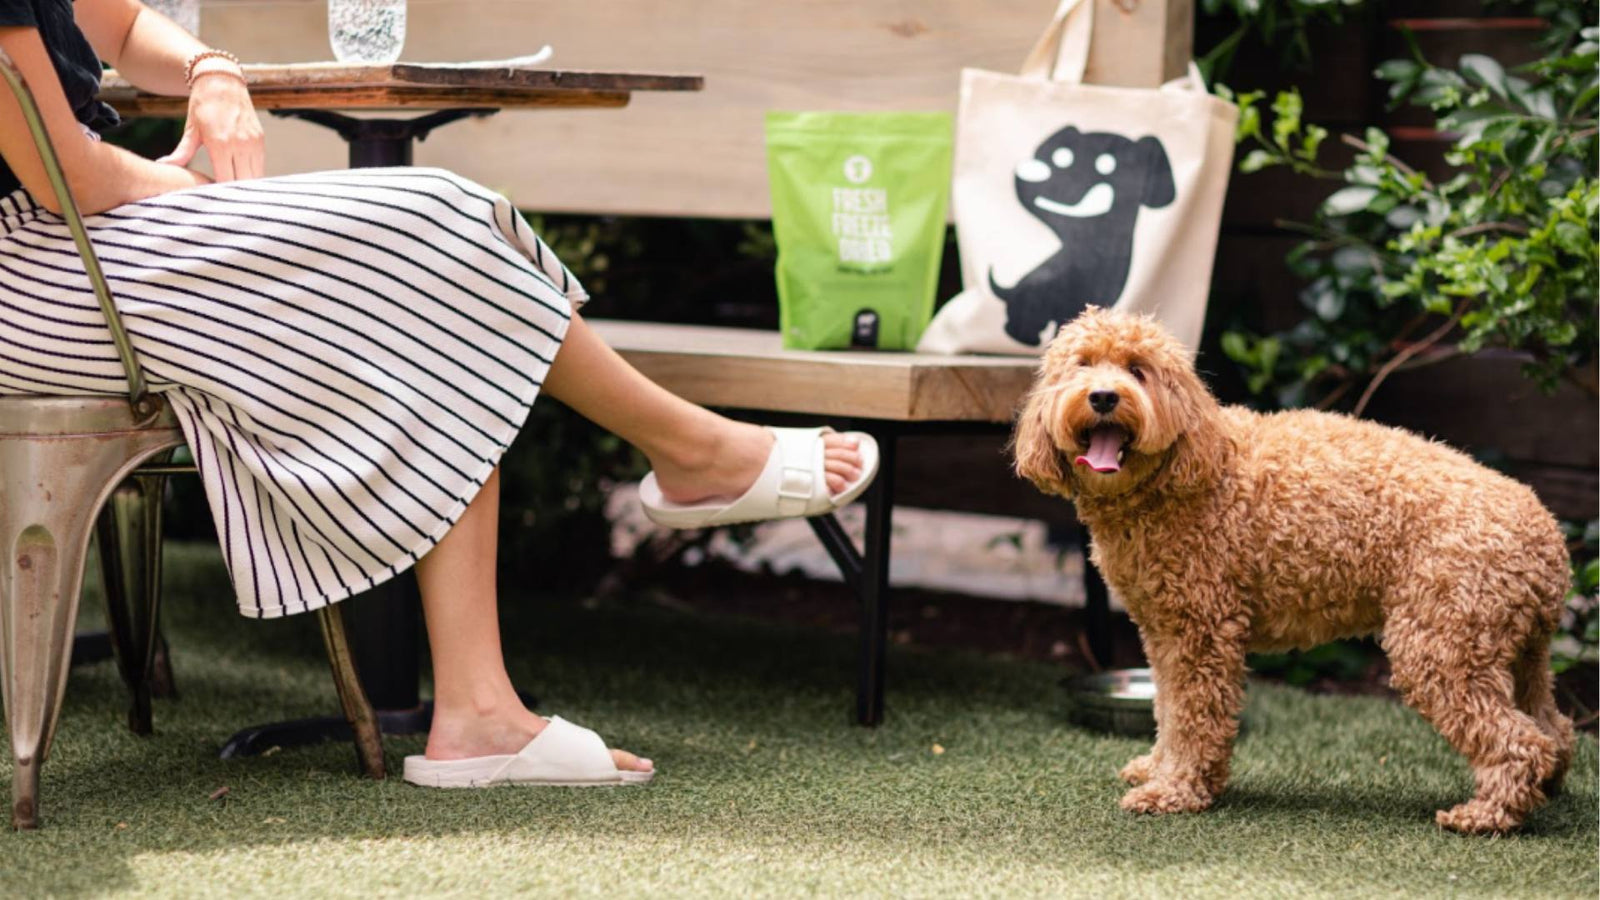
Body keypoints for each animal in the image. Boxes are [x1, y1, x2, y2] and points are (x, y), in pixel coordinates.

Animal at [1011, 304, 1574, 832]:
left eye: (1137, 369)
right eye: (1083, 365)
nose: (1104, 396)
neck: (1182, 469)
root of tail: (1548, 535)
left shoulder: (1202, 632)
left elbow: (1193, 717)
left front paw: (1174, 790)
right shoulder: (1163, 632)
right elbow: (1167, 709)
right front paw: (1158, 769)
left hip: (1441, 645)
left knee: (1522, 740)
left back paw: (1488, 814)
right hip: (1512, 650)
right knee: (1555, 729)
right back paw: (1544, 792)